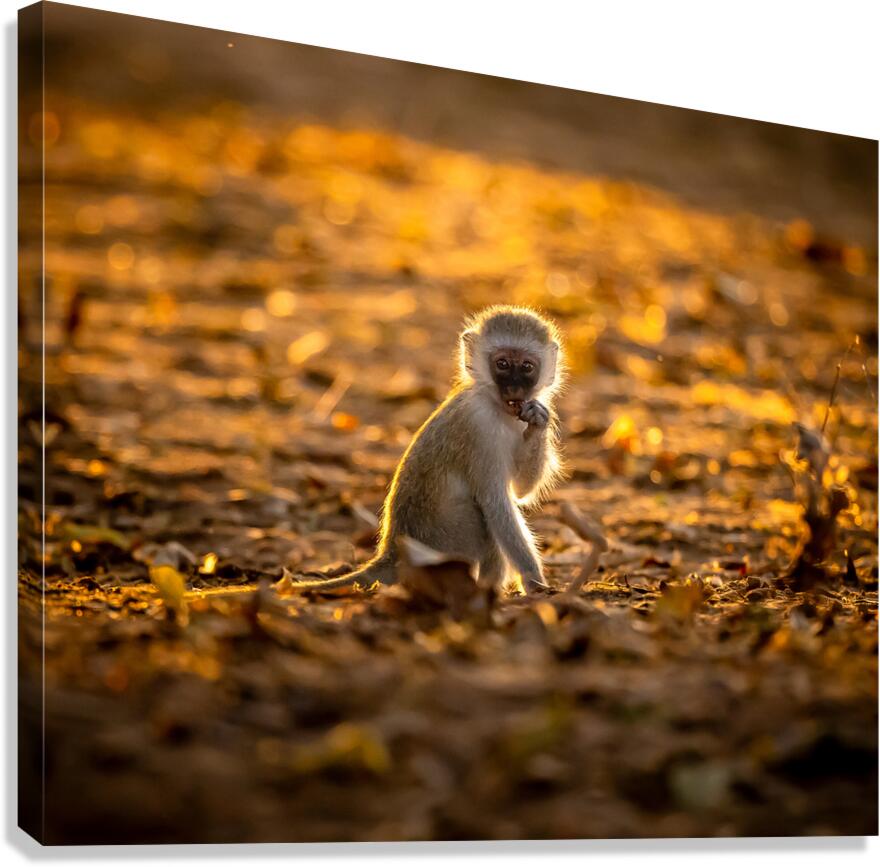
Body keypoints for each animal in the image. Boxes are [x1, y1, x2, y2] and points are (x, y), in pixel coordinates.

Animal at [292, 305, 565, 594]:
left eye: (526, 367)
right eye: (502, 364)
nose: (514, 388)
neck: (496, 407)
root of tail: (392, 553)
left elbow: (521, 490)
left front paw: (537, 422)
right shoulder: (478, 427)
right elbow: (497, 503)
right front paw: (534, 582)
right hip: (446, 540)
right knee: (483, 517)